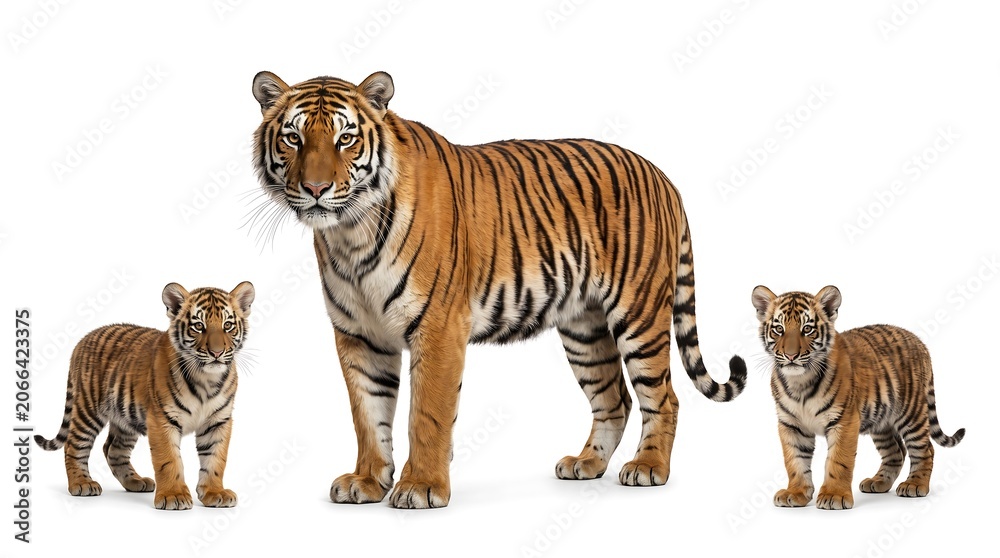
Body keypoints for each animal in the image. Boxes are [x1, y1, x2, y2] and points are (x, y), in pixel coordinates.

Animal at [35, 282, 255, 510]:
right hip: (88, 408)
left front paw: (215, 492)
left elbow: (215, 459)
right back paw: (82, 483)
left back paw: (136, 482)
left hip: (125, 418)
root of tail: (82, 340)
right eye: (198, 326)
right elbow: (169, 460)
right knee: (74, 444)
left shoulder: (218, 421)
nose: (217, 353)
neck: (206, 379)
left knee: (113, 449)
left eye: (228, 325)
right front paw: (174, 496)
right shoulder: (161, 419)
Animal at [250, 70, 747, 509]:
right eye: (293, 138)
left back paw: (648, 468)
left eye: (345, 139)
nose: (316, 188)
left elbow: (426, 414)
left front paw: (421, 487)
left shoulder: (438, 327)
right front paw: (367, 482)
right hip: (584, 329)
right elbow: (368, 416)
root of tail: (662, 175)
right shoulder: (358, 334)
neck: (350, 233)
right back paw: (586, 464)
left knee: (663, 397)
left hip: (639, 316)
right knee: (615, 399)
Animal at [751, 285, 965, 510]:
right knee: (896, 451)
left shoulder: (844, 421)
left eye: (807, 329)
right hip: (881, 422)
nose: (791, 356)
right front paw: (796, 493)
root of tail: (920, 342)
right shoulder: (790, 425)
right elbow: (795, 461)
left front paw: (834, 496)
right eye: (779, 329)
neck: (800, 382)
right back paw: (878, 482)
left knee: (925, 449)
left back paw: (915, 485)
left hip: (911, 413)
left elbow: (838, 460)